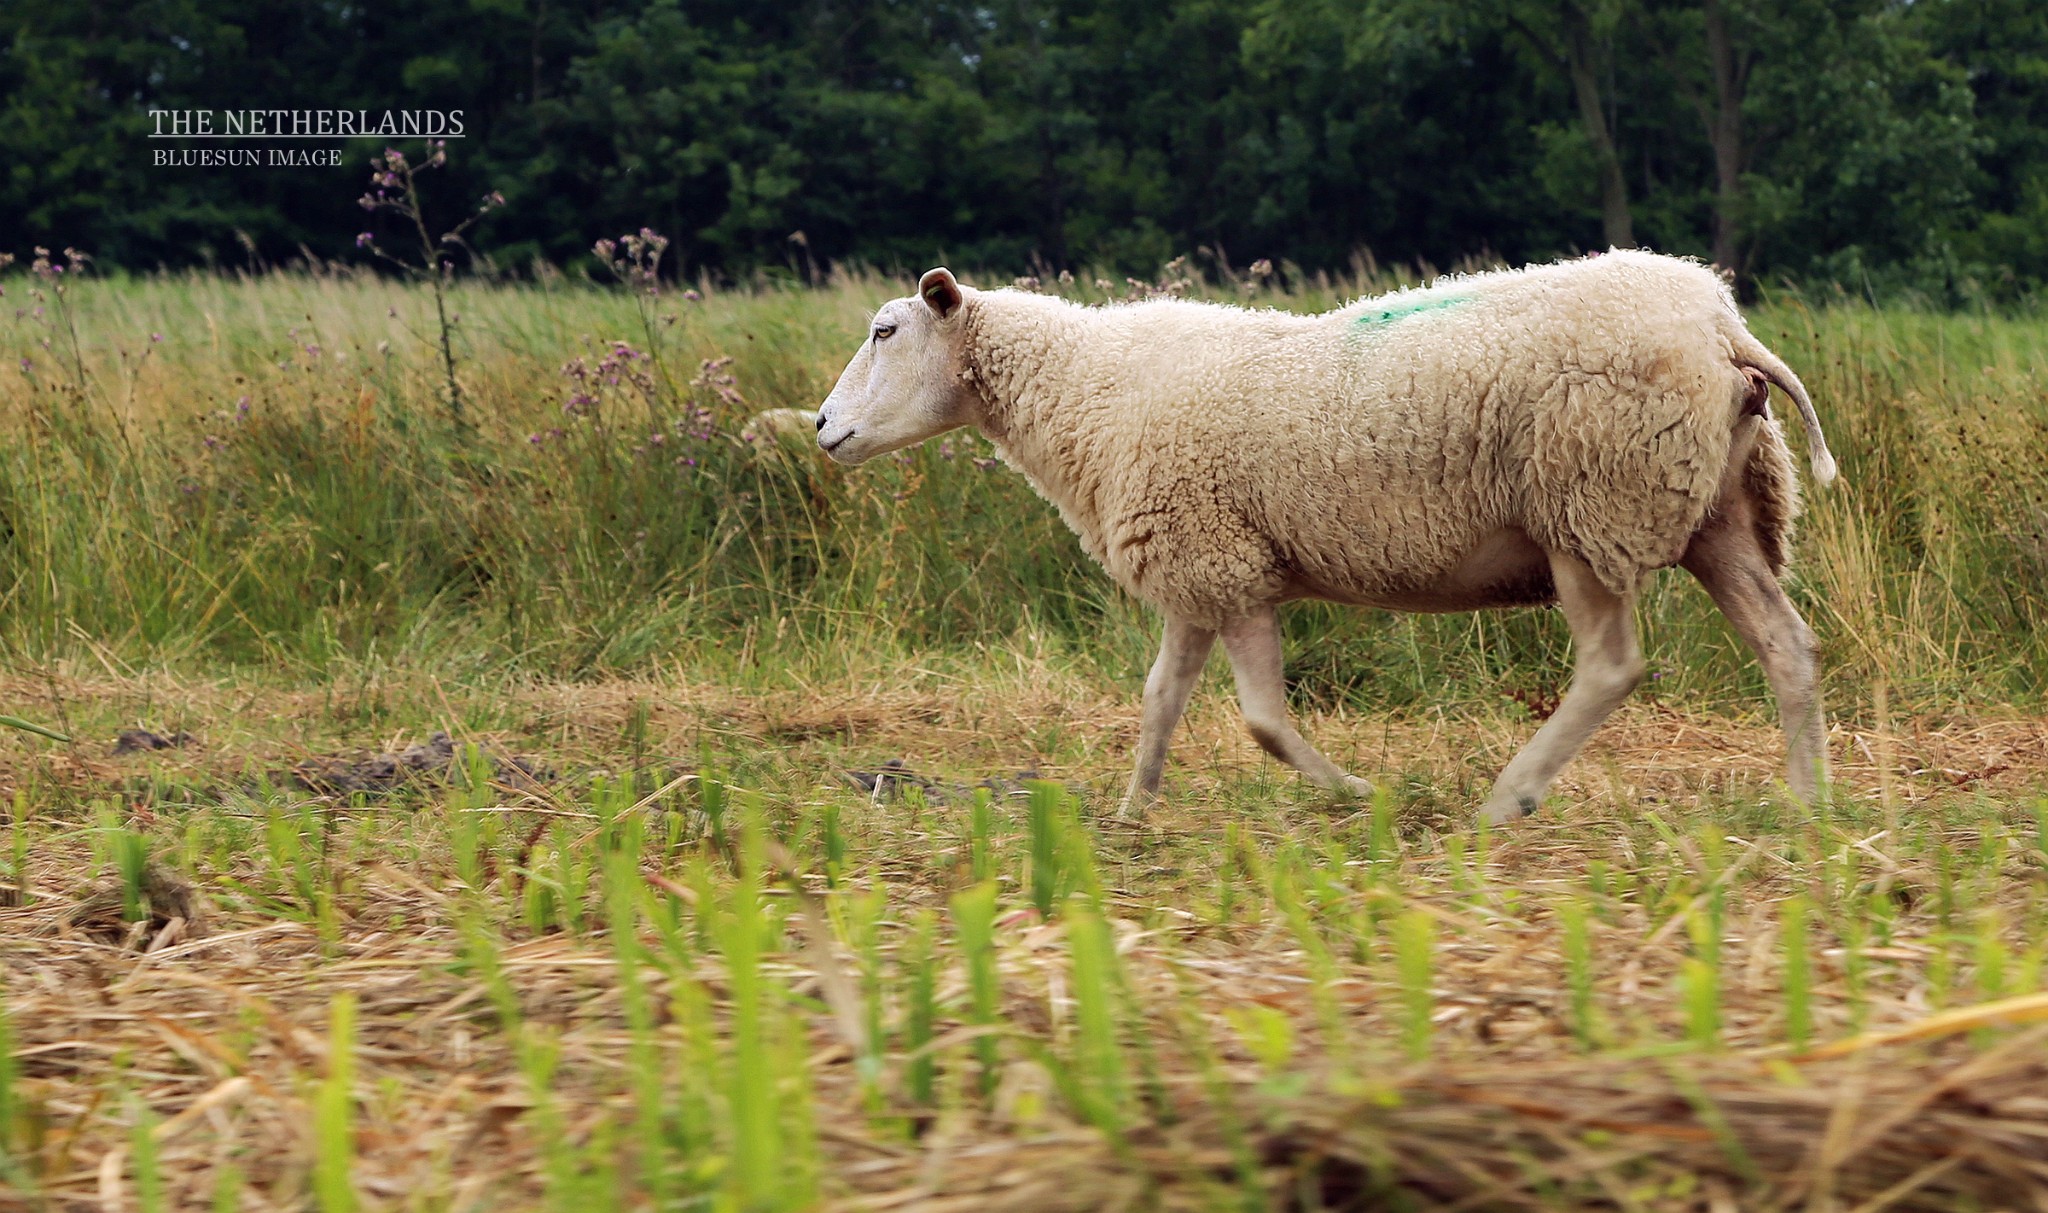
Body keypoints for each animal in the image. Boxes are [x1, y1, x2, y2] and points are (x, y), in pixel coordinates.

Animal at [811, 255, 1843, 823]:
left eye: (886, 329)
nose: (821, 427)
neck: (1085, 389)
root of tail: (1723, 325)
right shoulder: (1196, 570)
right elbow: (1158, 703)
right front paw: (1130, 814)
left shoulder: (1225, 565)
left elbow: (1263, 723)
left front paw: (1357, 794)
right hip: (1718, 511)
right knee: (1785, 643)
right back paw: (1806, 806)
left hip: (1586, 504)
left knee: (1612, 665)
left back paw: (1506, 798)